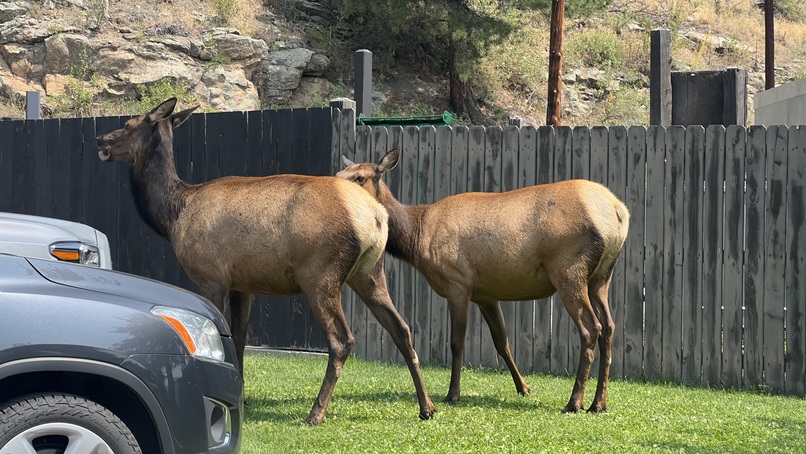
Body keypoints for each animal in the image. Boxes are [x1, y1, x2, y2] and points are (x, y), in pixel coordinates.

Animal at [95, 99, 438, 426]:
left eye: (128, 124)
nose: (101, 139)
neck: (174, 215)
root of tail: (376, 216)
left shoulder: (211, 276)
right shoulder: (242, 284)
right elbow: (238, 338)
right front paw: (241, 395)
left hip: (319, 274)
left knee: (342, 339)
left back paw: (316, 413)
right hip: (370, 273)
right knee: (402, 328)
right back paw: (427, 407)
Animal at [340, 147, 632, 414]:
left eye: (360, 177)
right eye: (342, 172)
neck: (416, 236)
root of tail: (619, 212)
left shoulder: (457, 282)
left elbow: (456, 342)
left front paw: (453, 394)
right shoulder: (485, 294)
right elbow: (502, 342)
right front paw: (524, 387)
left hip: (569, 270)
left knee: (591, 328)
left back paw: (574, 402)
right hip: (601, 277)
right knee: (609, 327)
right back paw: (598, 403)